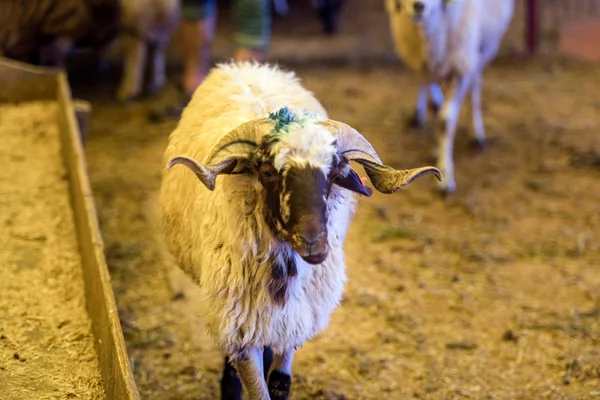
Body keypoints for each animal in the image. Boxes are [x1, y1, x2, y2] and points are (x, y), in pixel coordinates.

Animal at [159, 61, 440, 398]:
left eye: (335, 173)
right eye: (267, 172)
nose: (314, 244)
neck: (284, 272)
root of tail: (244, 65)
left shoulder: (297, 317)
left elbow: (281, 382)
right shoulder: (239, 326)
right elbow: (257, 387)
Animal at [384, 0, 516, 195]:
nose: (418, 6)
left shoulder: (462, 68)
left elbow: (445, 121)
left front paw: (445, 178)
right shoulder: (423, 65)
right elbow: (434, 102)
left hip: (484, 47)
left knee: (475, 82)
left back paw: (476, 133)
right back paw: (419, 114)